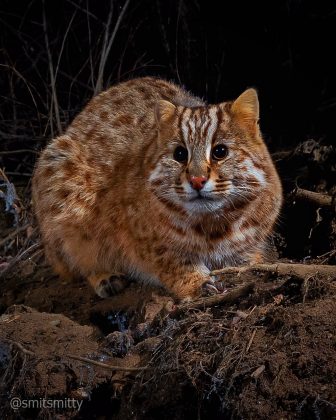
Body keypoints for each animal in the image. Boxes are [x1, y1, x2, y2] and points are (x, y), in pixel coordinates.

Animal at [32, 78, 284, 302]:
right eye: (180, 154)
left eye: (220, 151)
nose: (197, 180)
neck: (213, 224)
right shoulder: (144, 240)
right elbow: (172, 261)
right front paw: (198, 282)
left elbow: (249, 259)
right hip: (57, 180)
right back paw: (105, 275)